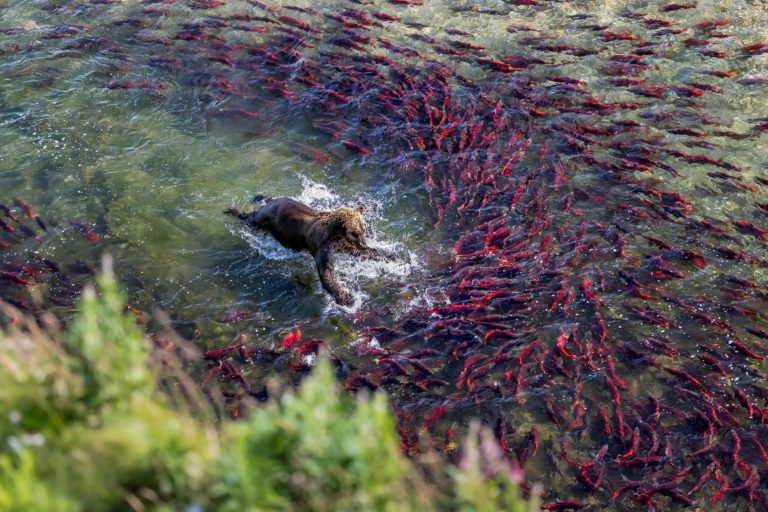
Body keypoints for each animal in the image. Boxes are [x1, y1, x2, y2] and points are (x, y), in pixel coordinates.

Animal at [225, 195, 389, 306]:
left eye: (363, 229)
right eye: (355, 232)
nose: (363, 243)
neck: (335, 235)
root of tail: (271, 202)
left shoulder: (343, 245)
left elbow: (362, 253)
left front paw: (388, 256)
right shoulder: (322, 245)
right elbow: (326, 270)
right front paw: (345, 297)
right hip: (264, 218)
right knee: (252, 218)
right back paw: (233, 211)